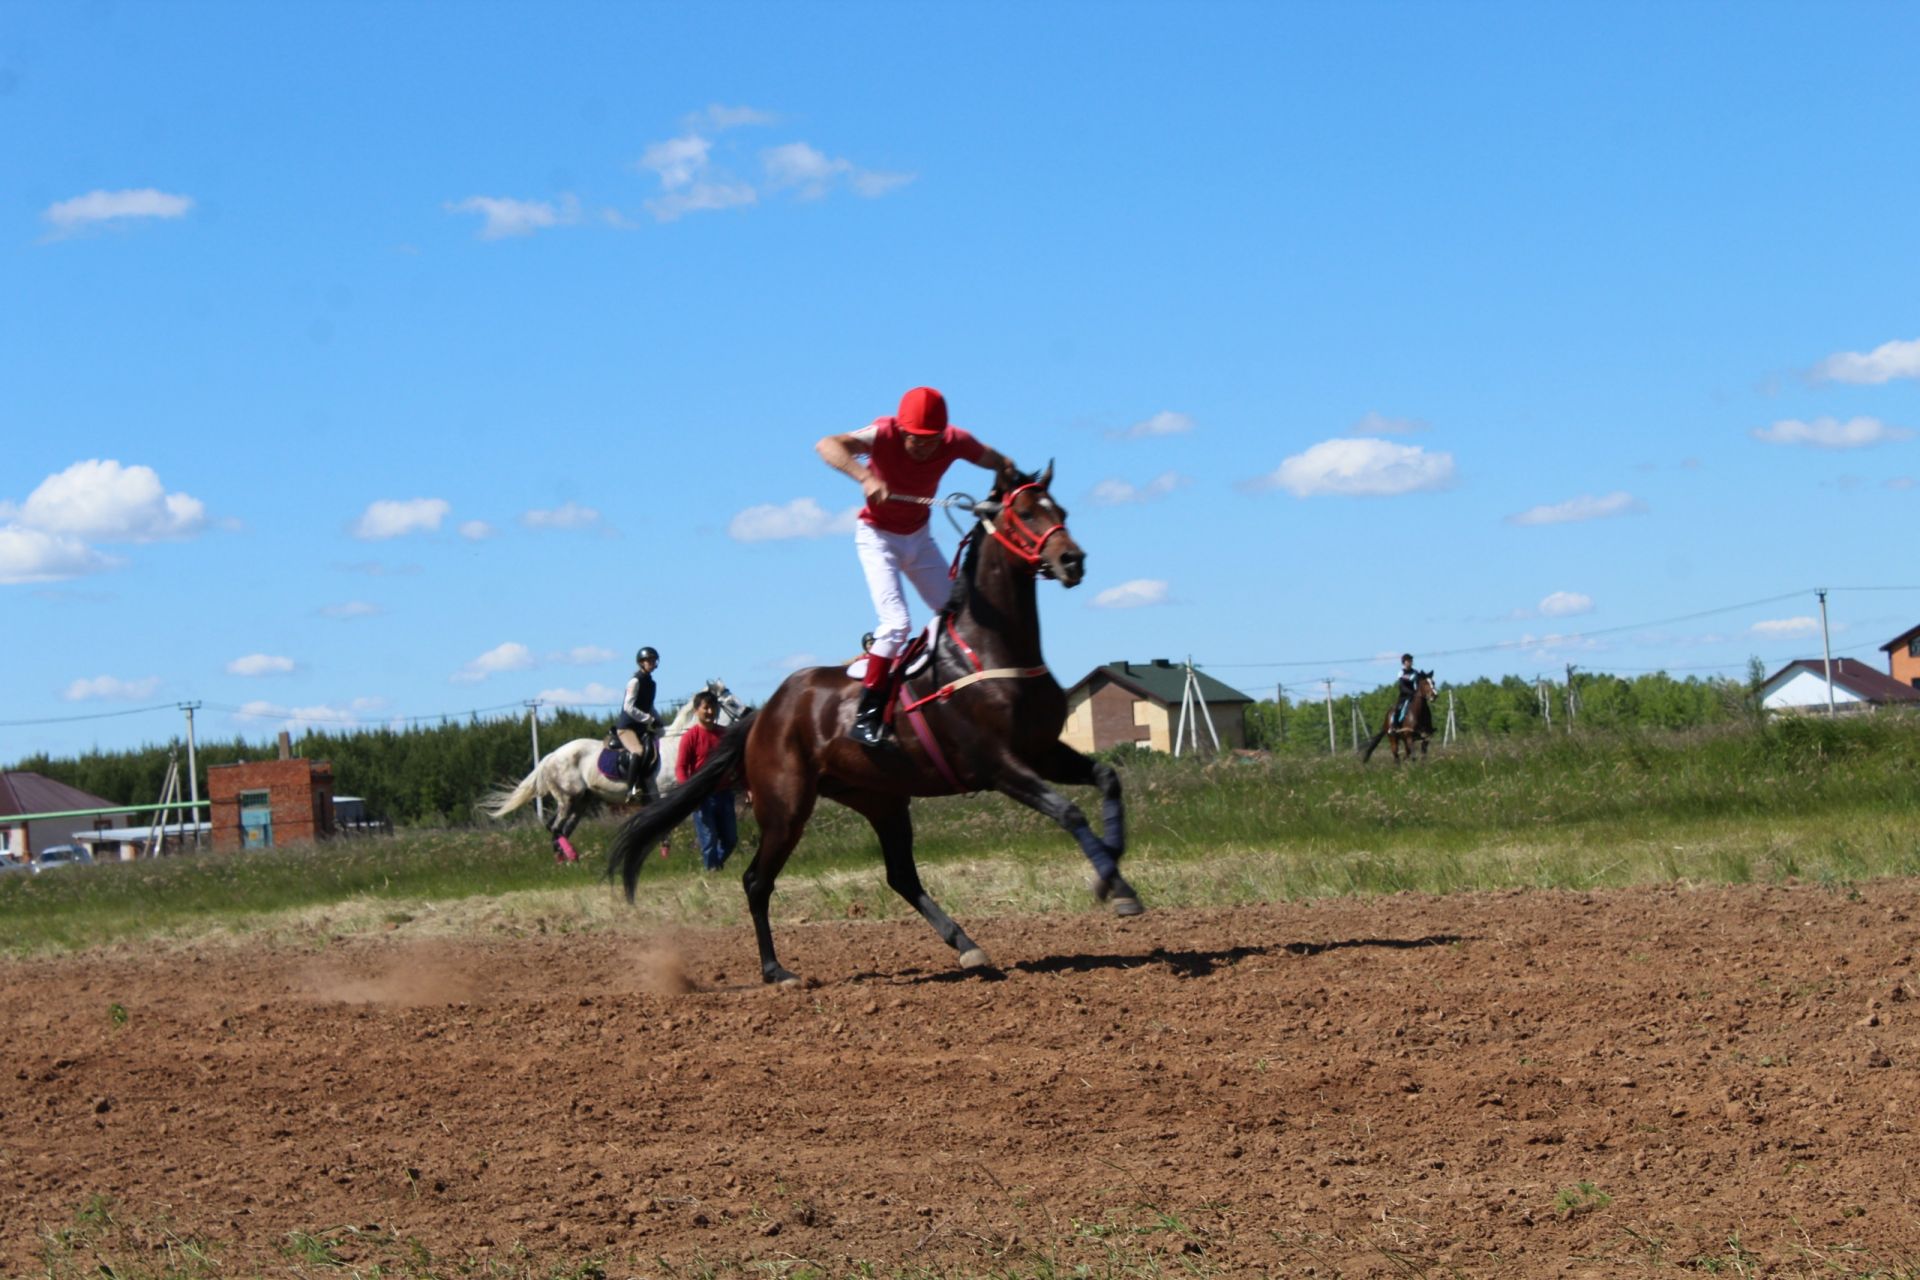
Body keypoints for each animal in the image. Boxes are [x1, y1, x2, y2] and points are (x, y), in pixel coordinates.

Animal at [483, 679, 744, 859]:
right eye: (732, 703)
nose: (750, 714)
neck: (676, 745)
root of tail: (550, 757)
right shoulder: (664, 793)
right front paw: (667, 854)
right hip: (569, 798)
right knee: (556, 827)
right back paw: (571, 858)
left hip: (581, 801)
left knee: (560, 828)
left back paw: (565, 860)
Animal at [606, 466, 1128, 990]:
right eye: (1023, 512)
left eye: (1060, 510)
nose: (1072, 559)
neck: (990, 648)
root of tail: (764, 714)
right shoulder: (1000, 765)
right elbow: (1068, 812)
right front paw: (1113, 884)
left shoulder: (1042, 750)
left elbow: (1107, 779)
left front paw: (1116, 875)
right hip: (786, 806)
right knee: (757, 880)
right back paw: (777, 970)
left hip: (880, 797)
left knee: (900, 874)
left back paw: (966, 945)